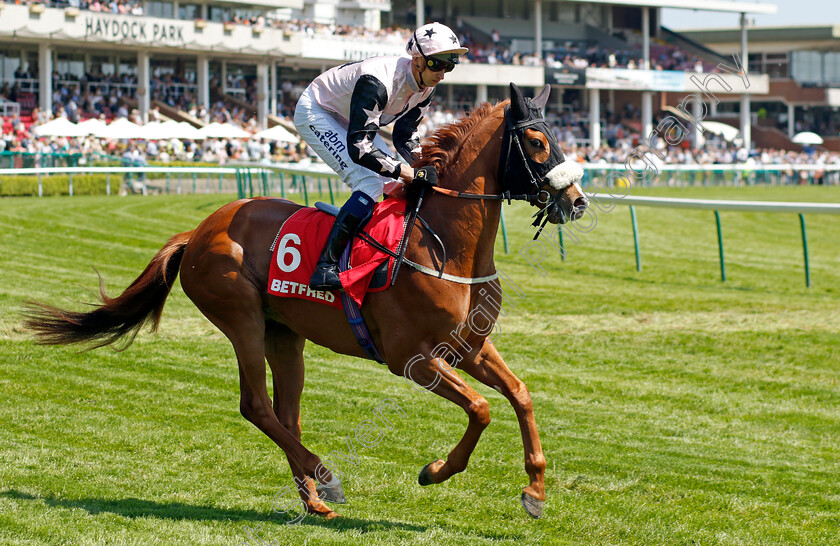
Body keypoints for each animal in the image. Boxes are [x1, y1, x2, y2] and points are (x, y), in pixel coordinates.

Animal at [27, 82, 592, 520]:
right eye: (536, 141)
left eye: (559, 137)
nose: (577, 201)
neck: (443, 244)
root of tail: (198, 230)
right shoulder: (409, 356)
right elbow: (481, 408)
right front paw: (436, 471)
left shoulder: (469, 346)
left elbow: (519, 395)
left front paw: (535, 491)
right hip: (241, 317)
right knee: (256, 406)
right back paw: (329, 480)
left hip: (285, 334)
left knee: (286, 414)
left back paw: (314, 500)